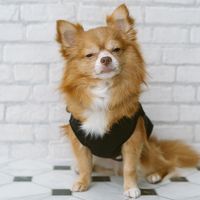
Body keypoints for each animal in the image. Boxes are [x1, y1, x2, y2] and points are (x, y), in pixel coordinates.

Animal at [55, 4, 199, 198]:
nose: (105, 59)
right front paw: (82, 182)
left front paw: (131, 188)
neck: (104, 90)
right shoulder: (80, 140)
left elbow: (129, 168)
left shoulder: (133, 140)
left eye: (116, 50)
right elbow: (85, 165)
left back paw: (155, 175)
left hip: (146, 152)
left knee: (165, 164)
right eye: (90, 55)